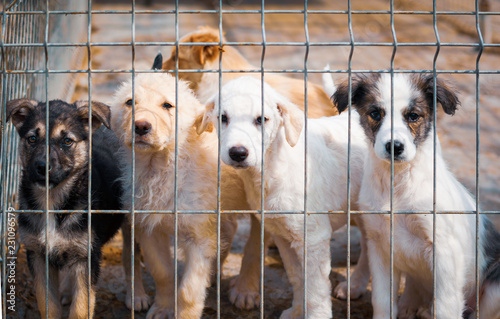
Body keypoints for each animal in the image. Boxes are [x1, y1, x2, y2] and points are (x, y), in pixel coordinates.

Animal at [6, 99, 126, 319]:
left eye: (67, 141)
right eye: (32, 139)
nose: (42, 167)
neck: (53, 201)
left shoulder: (86, 257)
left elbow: (80, 307)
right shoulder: (37, 255)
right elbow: (47, 304)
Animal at [197, 76, 370, 318]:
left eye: (261, 119)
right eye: (223, 118)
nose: (238, 153)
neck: (273, 169)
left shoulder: (314, 237)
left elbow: (316, 289)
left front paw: (315, 314)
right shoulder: (282, 235)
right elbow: (297, 277)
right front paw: (297, 310)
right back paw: (355, 285)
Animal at [332, 74, 500, 319]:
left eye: (413, 116)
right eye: (375, 114)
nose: (394, 147)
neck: (397, 183)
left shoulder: (445, 250)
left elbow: (446, 307)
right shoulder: (380, 246)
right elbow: (382, 301)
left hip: (494, 287)